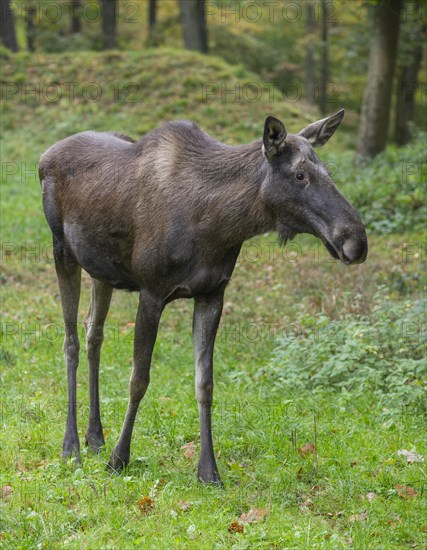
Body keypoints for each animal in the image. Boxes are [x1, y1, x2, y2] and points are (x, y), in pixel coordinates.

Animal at [39, 111, 368, 484]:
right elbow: (138, 379)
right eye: (300, 174)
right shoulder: (151, 293)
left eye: (327, 171)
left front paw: (208, 469)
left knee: (93, 332)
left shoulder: (212, 294)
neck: (218, 225)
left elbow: (205, 384)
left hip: (101, 269)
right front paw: (119, 458)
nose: (356, 241)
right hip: (62, 250)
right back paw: (71, 445)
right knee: (70, 341)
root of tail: (44, 157)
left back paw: (95, 436)